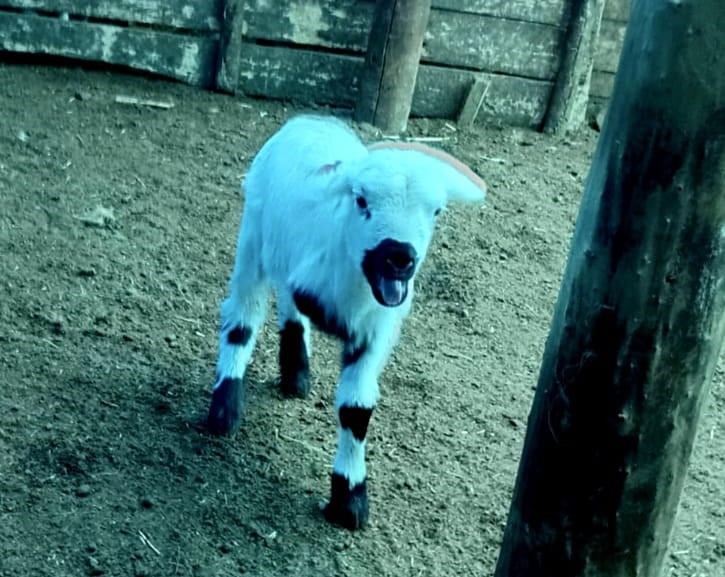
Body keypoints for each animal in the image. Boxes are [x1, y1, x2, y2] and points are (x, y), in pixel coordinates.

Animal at [206, 115, 484, 528]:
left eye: (436, 212)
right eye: (362, 200)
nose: (400, 256)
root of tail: (310, 120)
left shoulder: (374, 335)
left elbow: (356, 411)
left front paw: (349, 499)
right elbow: (269, 311)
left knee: (286, 304)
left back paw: (296, 374)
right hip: (253, 238)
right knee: (243, 316)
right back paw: (225, 409)